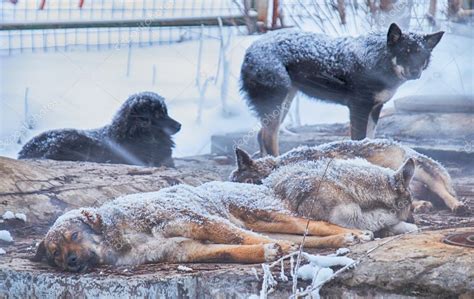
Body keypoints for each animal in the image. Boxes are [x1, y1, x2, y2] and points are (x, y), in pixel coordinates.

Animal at [241, 23, 444, 157]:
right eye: (404, 53)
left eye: (421, 55)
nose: (415, 72)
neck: (378, 61)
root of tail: (251, 49)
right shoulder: (359, 108)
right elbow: (359, 140)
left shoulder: (375, 108)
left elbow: (369, 138)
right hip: (276, 104)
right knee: (268, 137)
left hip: (282, 106)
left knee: (262, 135)